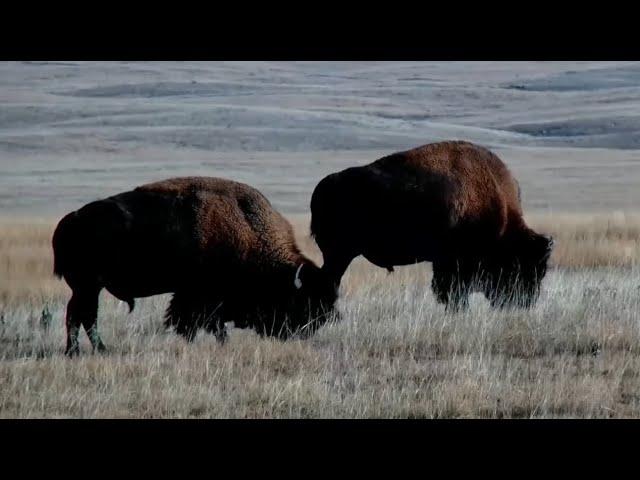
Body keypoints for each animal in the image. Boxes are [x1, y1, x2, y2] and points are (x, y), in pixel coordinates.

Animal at [52, 176, 338, 356]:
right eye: (301, 303)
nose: (302, 333)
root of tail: (70, 219)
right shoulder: (198, 296)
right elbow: (197, 323)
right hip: (87, 286)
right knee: (81, 315)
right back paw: (83, 351)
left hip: (88, 287)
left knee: (82, 315)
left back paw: (87, 350)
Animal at [310, 141, 556, 310]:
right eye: (524, 266)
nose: (526, 302)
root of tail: (324, 185)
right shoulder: (453, 263)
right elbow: (451, 292)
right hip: (340, 253)